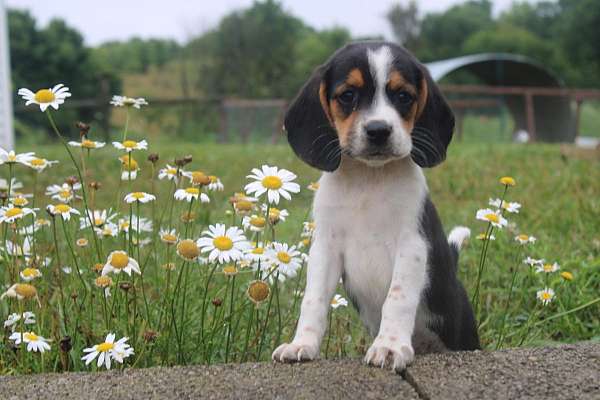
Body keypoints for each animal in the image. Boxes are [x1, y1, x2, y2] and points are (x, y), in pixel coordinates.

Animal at [272, 41, 478, 372]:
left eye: (403, 96)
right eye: (348, 95)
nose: (379, 130)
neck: (369, 179)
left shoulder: (411, 245)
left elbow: (397, 298)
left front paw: (389, 347)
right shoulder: (325, 248)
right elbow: (313, 300)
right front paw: (302, 344)